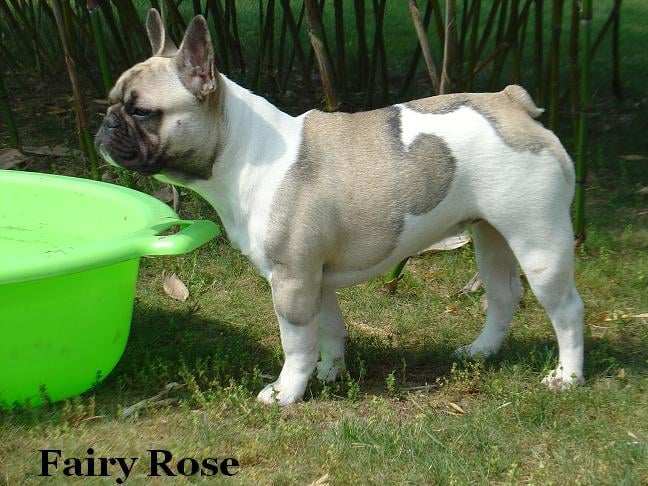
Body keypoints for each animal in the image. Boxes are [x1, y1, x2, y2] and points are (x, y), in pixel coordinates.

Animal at [97, 10, 588, 406]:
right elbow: (330, 329)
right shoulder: (316, 277)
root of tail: (511, 103)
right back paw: (479, 352)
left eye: (141, 112)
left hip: (538, 241)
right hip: (491, 234)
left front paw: (287, 392)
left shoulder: (292, 280)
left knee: (566, 308)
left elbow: (296, 342)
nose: (105, 123)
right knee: (503, 295)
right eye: (112, 101)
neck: (243, 151)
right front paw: (330, 373)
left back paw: (566, 377)